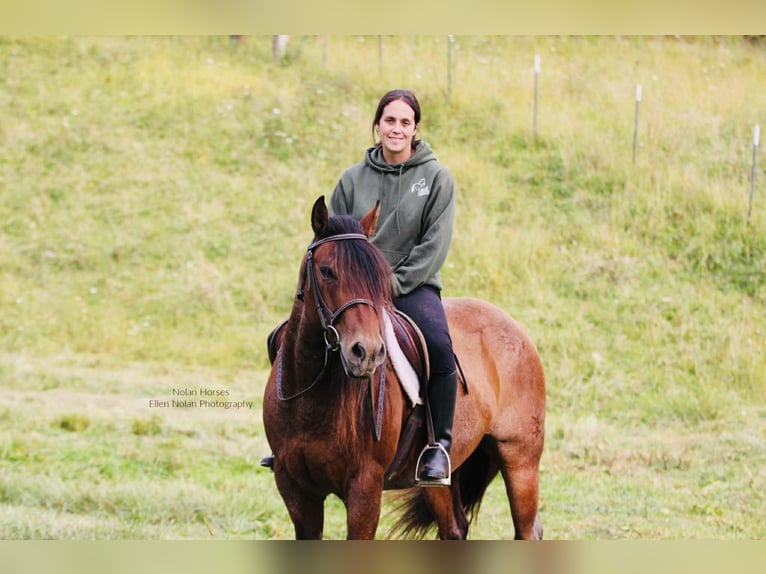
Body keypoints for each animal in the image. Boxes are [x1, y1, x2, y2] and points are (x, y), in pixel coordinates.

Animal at [262, 196, 546, 539]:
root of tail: (515, 329)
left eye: (379, 277)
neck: (311, 398)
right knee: (455, 528)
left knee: (527, 528)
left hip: (521, 459)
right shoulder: (296, 490)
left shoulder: (365, 489)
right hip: (442, 476)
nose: (366, 352)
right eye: (327, 271)